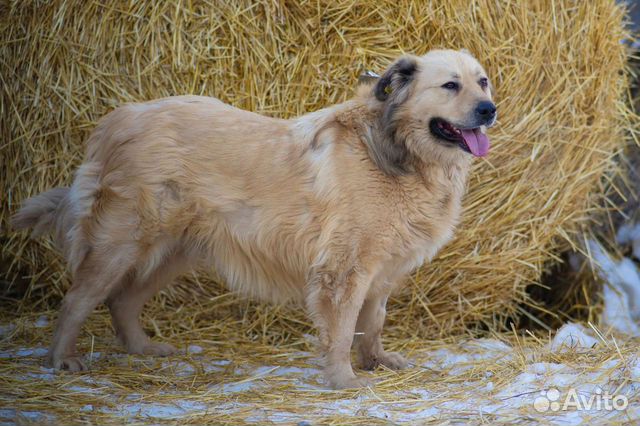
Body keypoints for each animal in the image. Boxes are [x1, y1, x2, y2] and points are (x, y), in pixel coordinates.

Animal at [12, 48, 498, 388]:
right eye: (450, 85)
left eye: (483, 82)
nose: (489, 110)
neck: (396, 149)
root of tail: (118, 119)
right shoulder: (343, 270)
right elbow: (342, 331)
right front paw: (345, 381)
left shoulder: (379, 272)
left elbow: (372, 324)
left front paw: (376, 363)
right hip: (121, 242)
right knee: (78, 299)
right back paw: (62, 359)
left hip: (174, 250)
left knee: (122, 301)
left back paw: (143, 349)